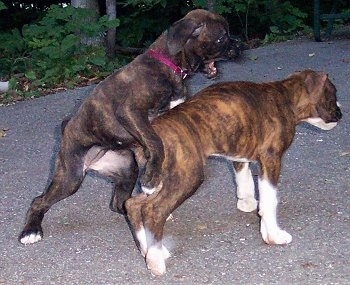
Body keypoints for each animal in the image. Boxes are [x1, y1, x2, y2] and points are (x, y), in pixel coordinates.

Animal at [17, 9, 241, 244]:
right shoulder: (130, 111)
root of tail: (66, 128)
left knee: (118, 203)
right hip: (71, 177)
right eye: (222, 37)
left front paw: (154, 178)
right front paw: (151, 181)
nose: (240, 44)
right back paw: (30, 231)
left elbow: (158, 146)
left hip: (125, 170)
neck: (168, 63)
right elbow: (155, 142)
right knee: (39, 200)